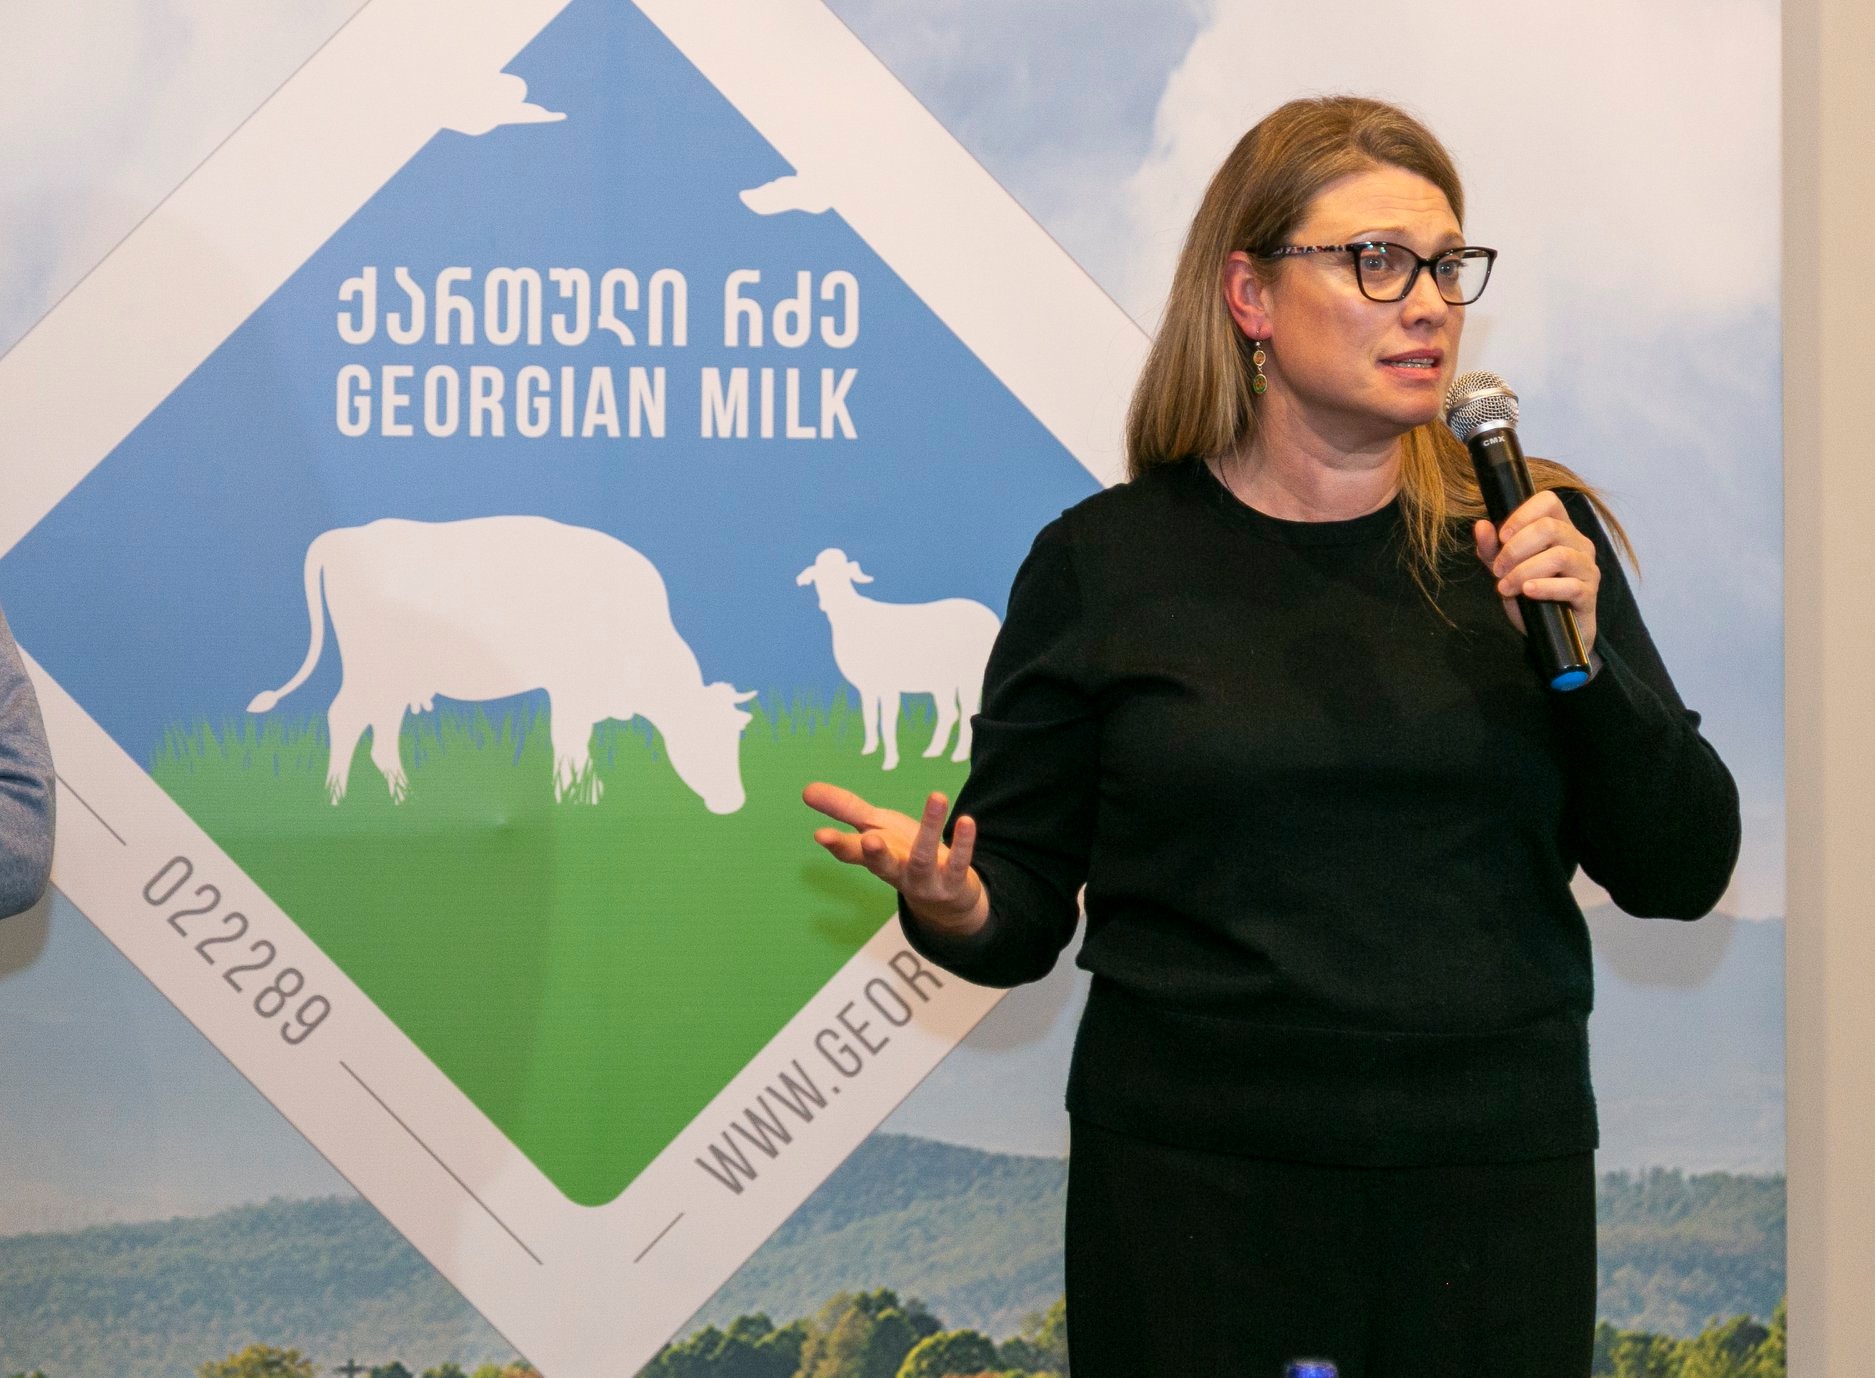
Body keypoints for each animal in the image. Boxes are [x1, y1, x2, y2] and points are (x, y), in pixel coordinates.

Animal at [246, 516, 756, 812]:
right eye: (706, 736)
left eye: (738, 734)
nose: (733, 802)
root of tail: (345, 536)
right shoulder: (571, 692)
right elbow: (570, 745)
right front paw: (578, 799)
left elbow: (578, 748)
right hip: (373, 668)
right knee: (345, 717)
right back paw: (335, 799)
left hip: (396, 677)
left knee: (379, 734)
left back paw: (405, 799)